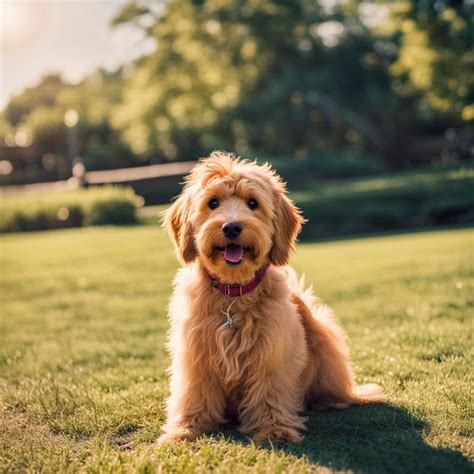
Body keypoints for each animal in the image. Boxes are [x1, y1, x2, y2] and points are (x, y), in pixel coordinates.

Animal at [157, 152, 384, 444]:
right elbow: (194, 393)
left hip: (322, 334)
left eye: (252, 203)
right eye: (213, 202)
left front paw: (274, 429)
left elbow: (269, 391)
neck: (233, 294)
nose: (231, 227)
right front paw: (186, 428)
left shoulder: (272, 351)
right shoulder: (196, 355)